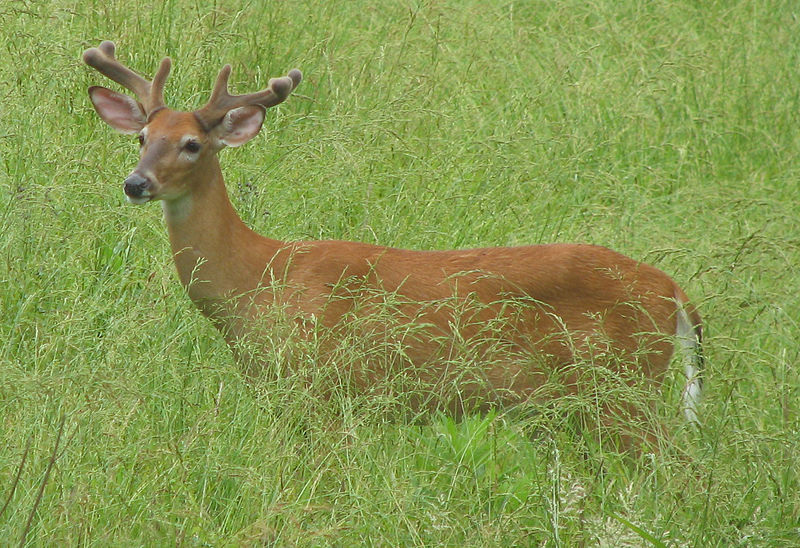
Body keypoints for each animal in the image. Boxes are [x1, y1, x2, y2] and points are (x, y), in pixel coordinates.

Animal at [84, 40, 704, 452]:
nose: (136, 183)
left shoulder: (322, 387)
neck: (258, 280)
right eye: (143, 137)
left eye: (192, 144)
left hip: (623, 389)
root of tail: (674, 292)